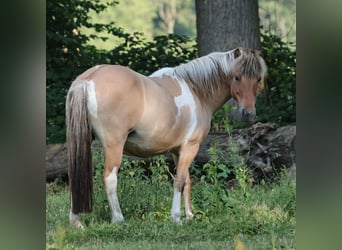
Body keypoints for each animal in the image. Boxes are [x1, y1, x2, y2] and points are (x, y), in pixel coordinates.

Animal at [65, 46, 268, 228]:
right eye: (237, 77)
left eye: (258, 79)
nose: (249, 114)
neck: (196, 91)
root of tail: (88, 79)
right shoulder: (190, 147)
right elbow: (179, 181)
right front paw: (176, 217)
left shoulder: (178, 151)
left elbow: (187, 181)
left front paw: (189, 215)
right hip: (114, 146)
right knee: (110, 178)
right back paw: (118, 219)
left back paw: (76, 222)